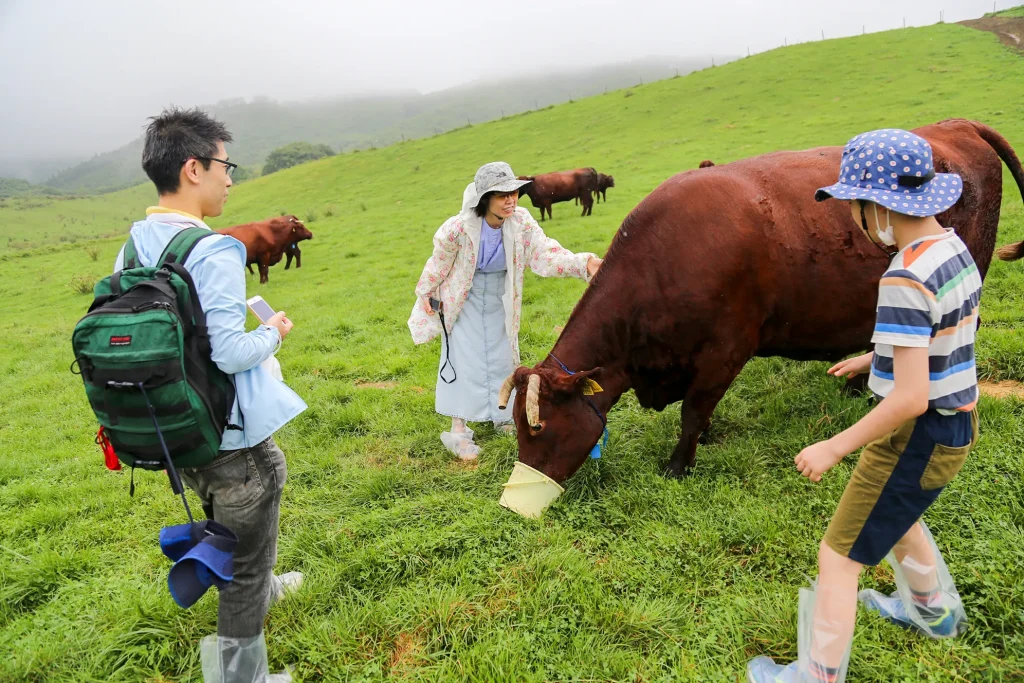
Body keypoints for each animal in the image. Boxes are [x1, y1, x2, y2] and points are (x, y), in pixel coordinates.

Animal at [495, 122, 1024, 485]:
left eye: (537, 428)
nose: (523, 483)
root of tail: (953, 125)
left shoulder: (726, 349)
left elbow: (692, 412)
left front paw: (678, 464)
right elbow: (699, 411)